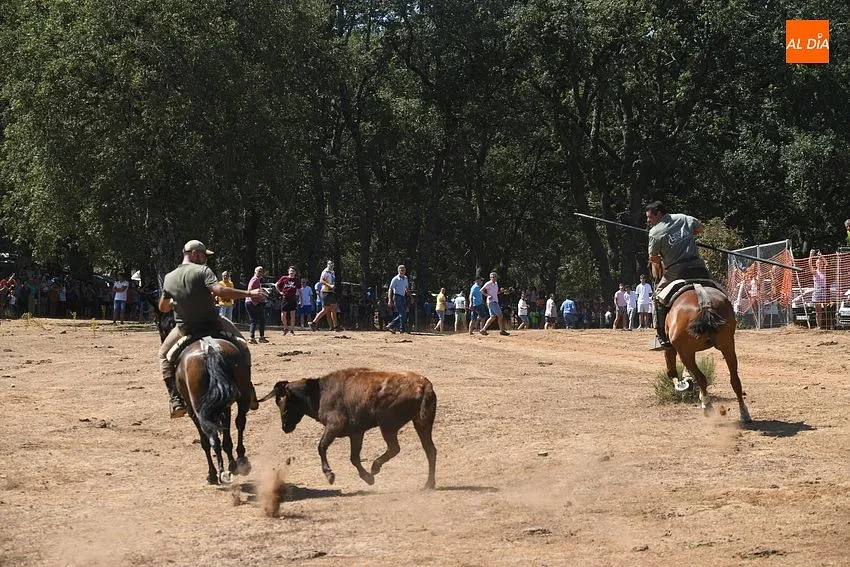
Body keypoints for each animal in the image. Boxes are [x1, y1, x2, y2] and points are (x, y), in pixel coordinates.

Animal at [154, 306, 255, 484]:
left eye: (160, 326)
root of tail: (210, 349)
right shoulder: (223, 405)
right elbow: (226, 436)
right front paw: (231, 464)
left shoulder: (193, 410)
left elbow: (205, 441)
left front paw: (213, 473)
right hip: (240, 395)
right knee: (240, 422)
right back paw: (240, 462)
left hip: (199, 409)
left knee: (212, 436)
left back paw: (219, 472)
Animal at [661, 283, 752, 423]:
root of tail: (704, 304)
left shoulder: (675, 349)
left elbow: (672, 372)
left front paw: (683, 384)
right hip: (727, 346)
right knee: (735, 380)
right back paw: (744, 413)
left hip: (684, 352)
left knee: (701, 378)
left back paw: (706, 405)